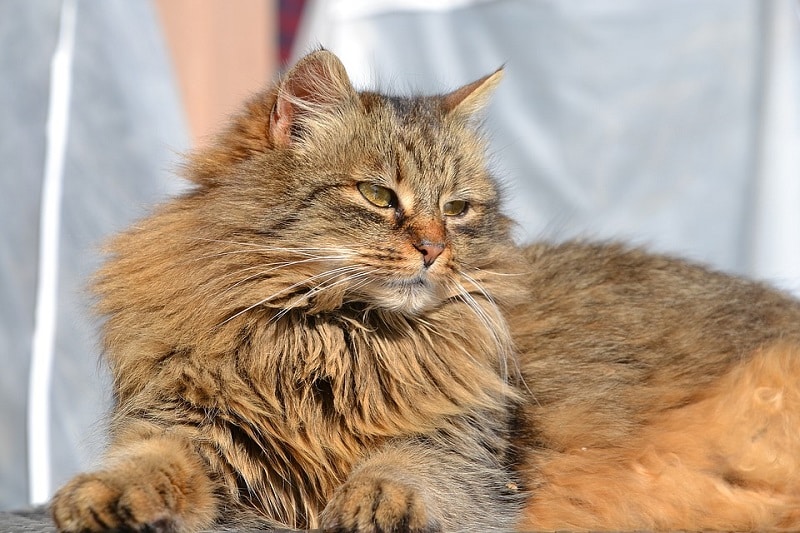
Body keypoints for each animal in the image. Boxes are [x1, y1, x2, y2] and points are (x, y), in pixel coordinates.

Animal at [51, 47, 800, 528]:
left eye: (459, 208)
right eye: (380, 196)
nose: (436, 248)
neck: (333, 337)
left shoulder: (461, 454)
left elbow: (404, 469)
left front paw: (376, 505)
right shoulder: (189, 428)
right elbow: (142, 463)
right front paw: (99, 498)